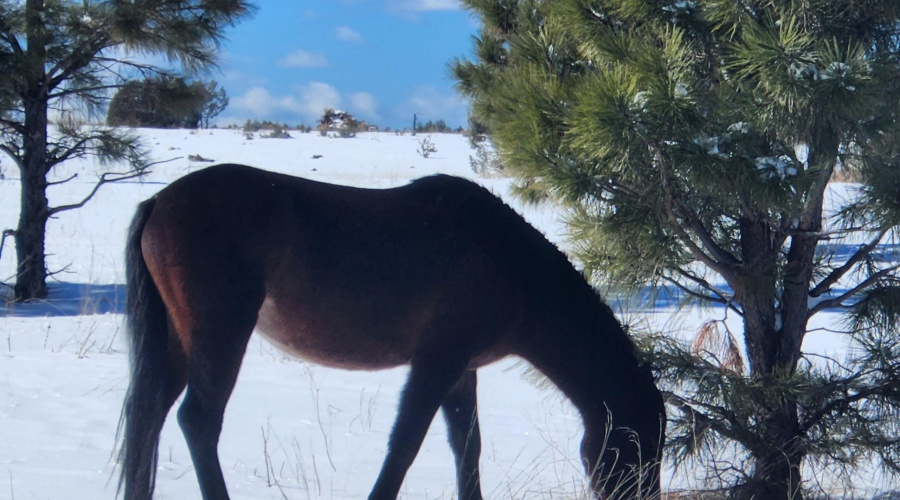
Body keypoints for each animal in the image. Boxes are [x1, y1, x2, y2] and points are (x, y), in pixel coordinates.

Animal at [118, 163, 666, 500]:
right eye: (638, 451)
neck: (511, 269)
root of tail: (159, 202)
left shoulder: (461, 370)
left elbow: (467, 448)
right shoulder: (437, 360)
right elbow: (405, 446)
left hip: (176, 341)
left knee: (149, 416)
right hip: (221, 334)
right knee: (197, 421)